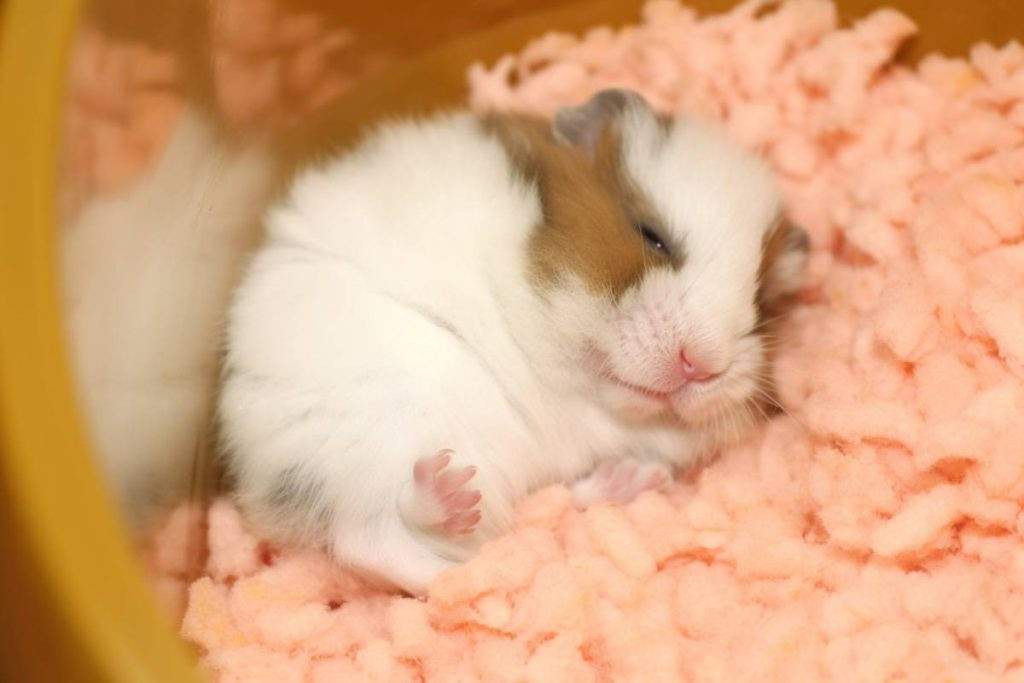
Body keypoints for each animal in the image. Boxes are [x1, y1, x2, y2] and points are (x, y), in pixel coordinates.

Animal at [218, 89, 808, 595]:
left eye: (760, 302)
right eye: (652, 236)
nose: (701, 364)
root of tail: (257, 485)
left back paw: (621, 482)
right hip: (379, 425)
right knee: (369, 541)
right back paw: (454, 517)